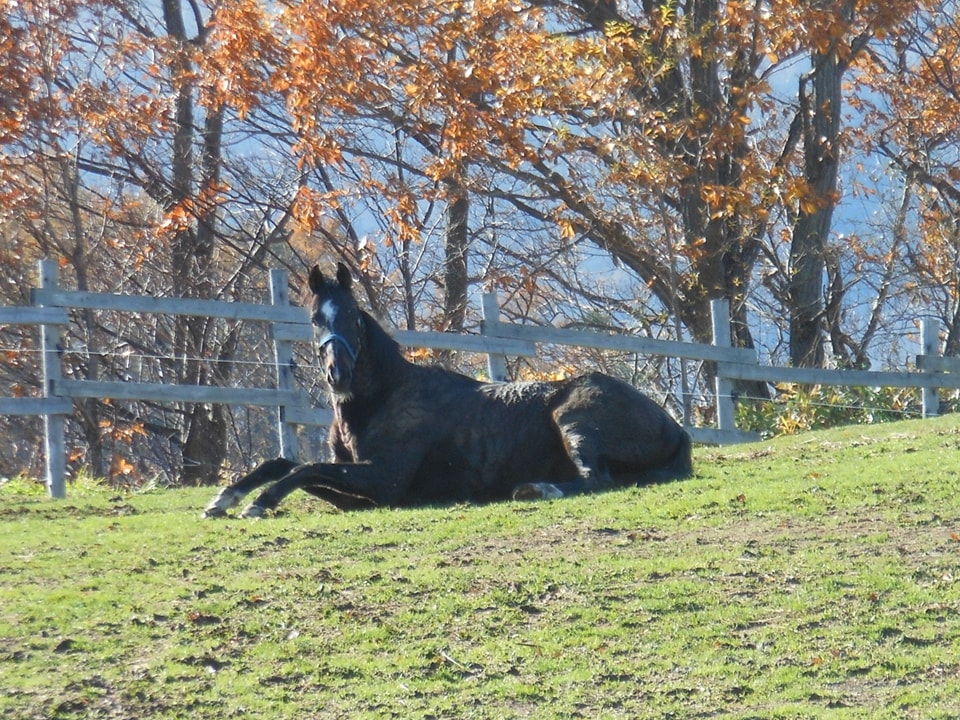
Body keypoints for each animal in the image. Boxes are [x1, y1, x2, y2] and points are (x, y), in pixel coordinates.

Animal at [204, 264, 688, 516]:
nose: (337, 374)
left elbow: (303, 469)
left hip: (574, 421)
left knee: (594, 481)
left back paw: (536, 489)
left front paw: (258, 503)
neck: (381, 401)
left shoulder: (383, 482)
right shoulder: (360, 485)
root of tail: (677, 428)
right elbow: (286, 464)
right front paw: (225, 497)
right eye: (314, 318)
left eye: (354, 316)